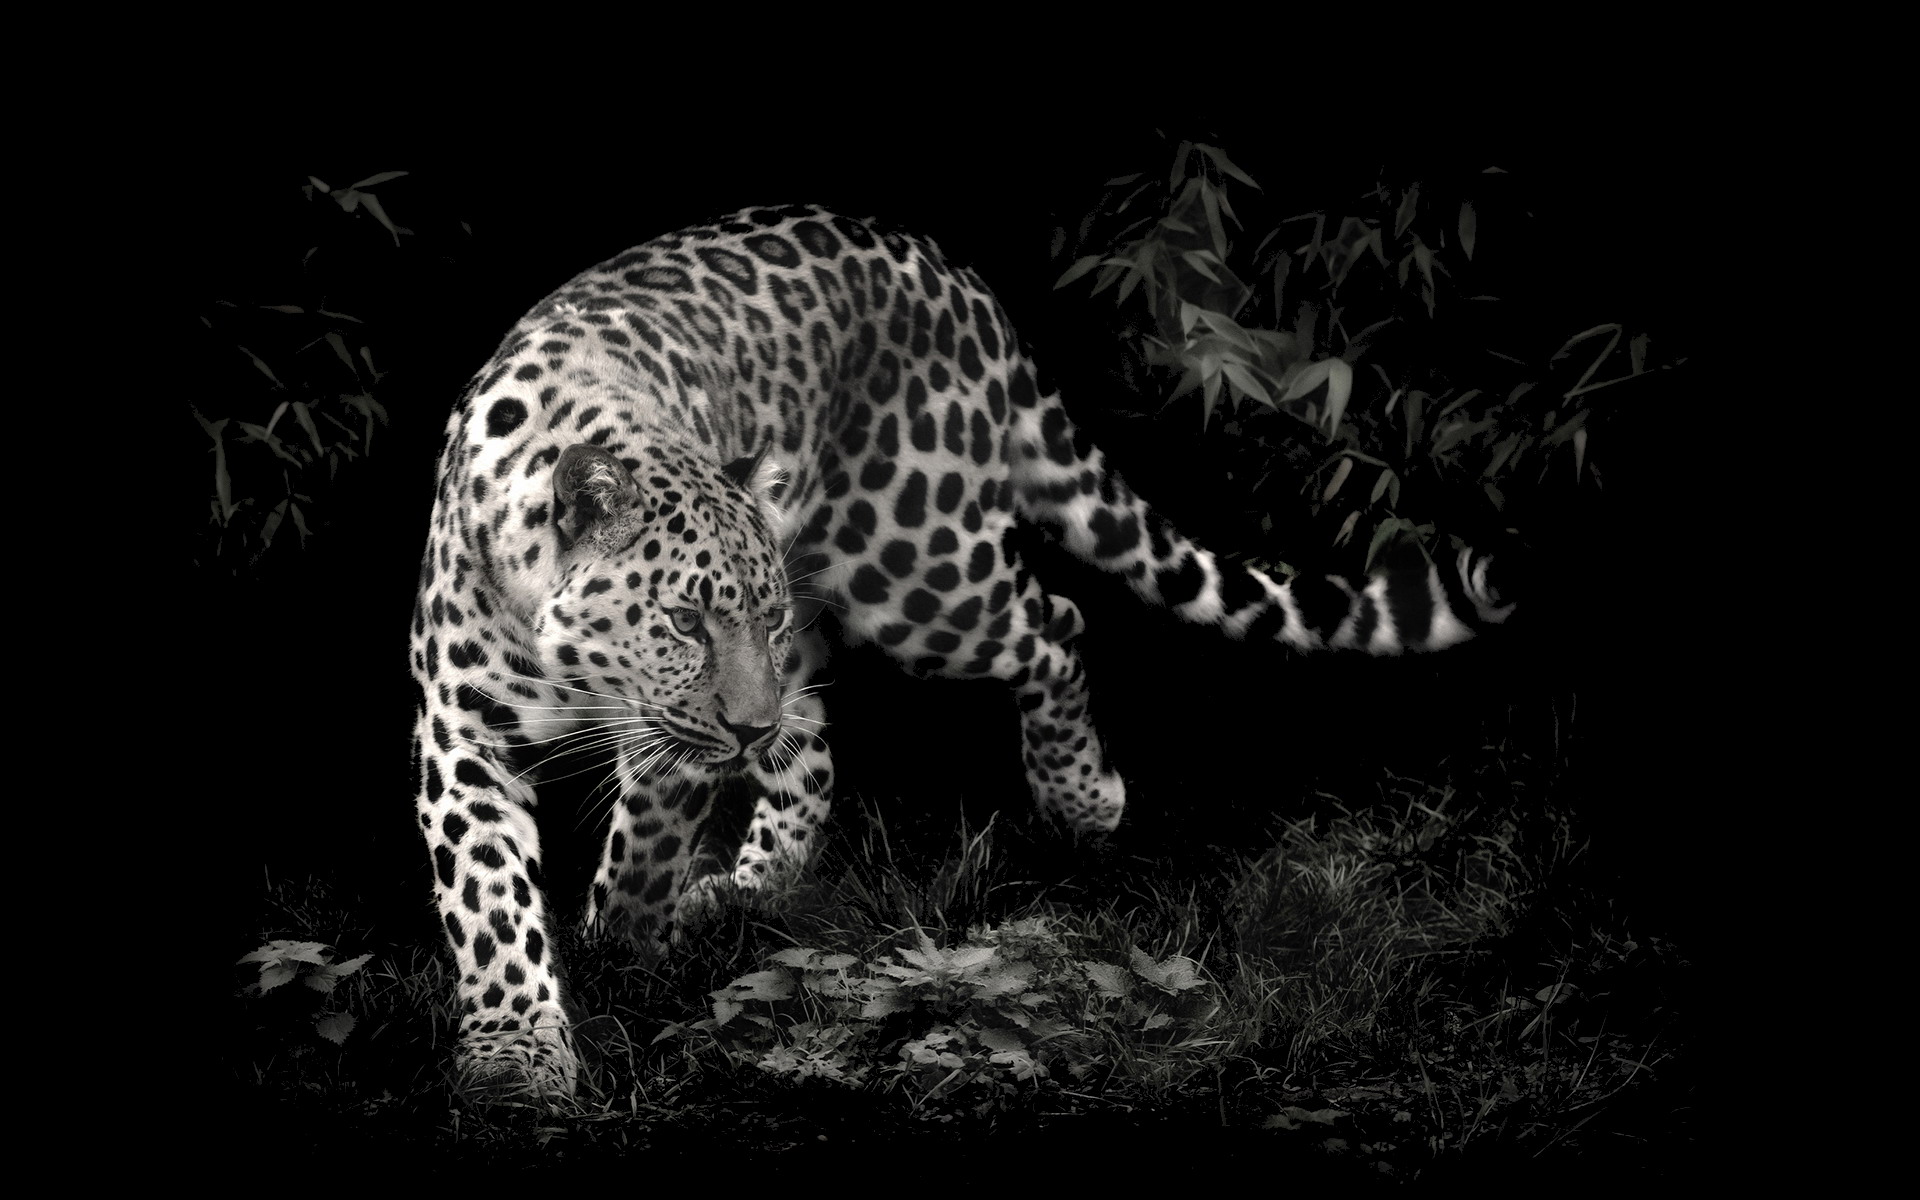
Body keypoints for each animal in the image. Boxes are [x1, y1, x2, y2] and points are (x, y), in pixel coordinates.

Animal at [407, 204, 1514, 1097]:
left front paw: (625, 941)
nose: (744, 725)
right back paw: (756, 884)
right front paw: (516, 1050)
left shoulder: (678, 735)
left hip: (916, 569)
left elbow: (643, 841)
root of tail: (957, 277)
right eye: (685, 621)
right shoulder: (460, 736)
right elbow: (489, 898)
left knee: (1052, 624)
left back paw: (1079, 800)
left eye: (751, 619)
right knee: (815, 734)